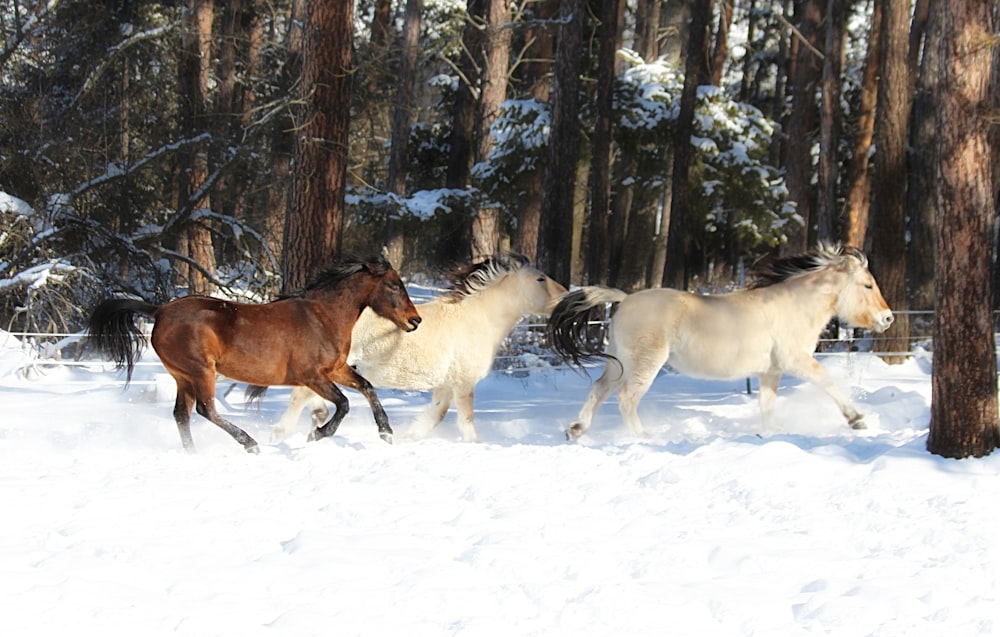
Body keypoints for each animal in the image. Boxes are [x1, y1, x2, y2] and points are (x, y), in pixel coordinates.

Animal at [87, 253, 426, 452]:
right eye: (393, 285)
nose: (415, 321)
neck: (322, 316)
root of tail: (160, 310)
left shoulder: (335, 370)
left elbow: (367, 388)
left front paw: (386, 432)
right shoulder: (312, 376)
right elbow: (343, 404)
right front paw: (316, 434)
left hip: (183, 376)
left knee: (182, 415)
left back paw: (194, 453)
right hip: (201, 371)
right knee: (206, 410)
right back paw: (249, 443)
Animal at [262, 253, 568, 442]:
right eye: (540, 278)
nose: (566, 294)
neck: (478, 319)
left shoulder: (446, 385)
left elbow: (434, 416)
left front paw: (406, 437)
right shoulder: (464, 383)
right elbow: (466, 423)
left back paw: (317, 418)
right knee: (299, 396)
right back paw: (285, 432)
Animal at [552, 243, 896, 438]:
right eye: (867, 285)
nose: (888, 318)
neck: (794, 306)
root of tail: (624, 299)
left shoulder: (770, 372)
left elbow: (767, 406)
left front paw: (769, 434)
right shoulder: (796, 361)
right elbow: (829, 383)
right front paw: (857, 420)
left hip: (620, 362)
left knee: (599, 389)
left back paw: (576, 430)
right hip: (645, 364)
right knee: (626, 399)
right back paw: (644, 437)